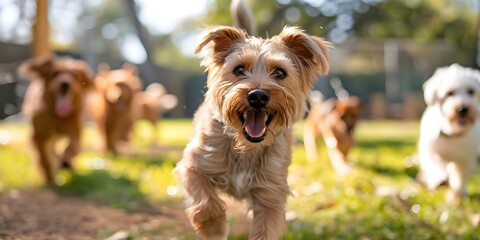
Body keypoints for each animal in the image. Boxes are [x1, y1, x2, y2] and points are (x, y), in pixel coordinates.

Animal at [19, 56, 94, 184]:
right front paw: (49, 176)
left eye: (74, 75)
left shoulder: (76, 132)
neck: (58, 117)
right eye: (55, 74)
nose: (65, 84)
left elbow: (72, 147)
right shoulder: (39, 136)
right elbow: (44, 158)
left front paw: (66, 161)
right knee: (50, 153)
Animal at [174, 25, 332, 238]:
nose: (258, 96)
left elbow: (264, 230)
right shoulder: (193, 165)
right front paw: (214, 227)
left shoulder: (271, 195)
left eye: (280, 72)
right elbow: (206, 203)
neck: (245, 147)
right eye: (239, 69)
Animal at [416, 62, 480, 202]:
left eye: (471, 91)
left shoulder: (464, 160)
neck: (452, 133)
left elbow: (459, 178)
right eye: (450, 93)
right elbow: (434, 162)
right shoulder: (429, 150)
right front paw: (439, 178)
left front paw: (455, 196)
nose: (463, 109)